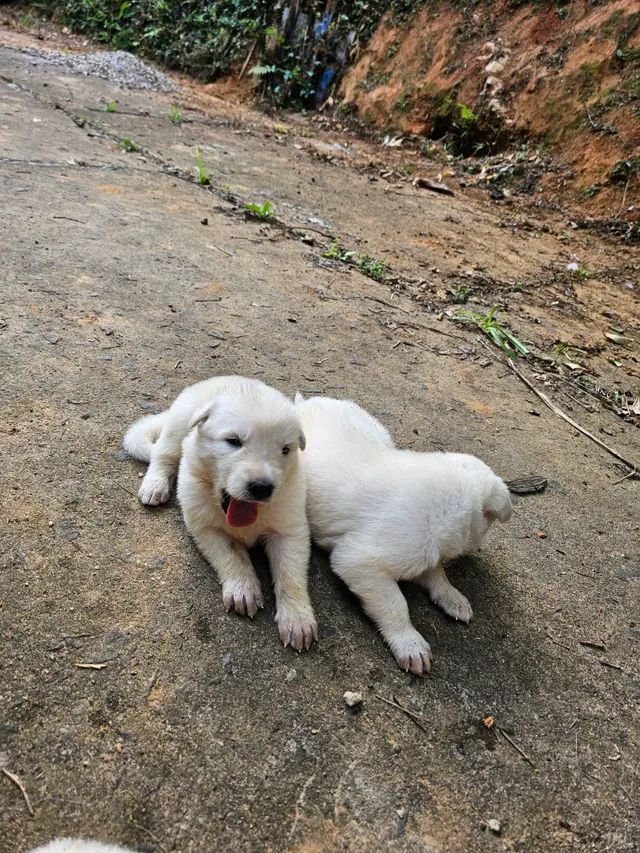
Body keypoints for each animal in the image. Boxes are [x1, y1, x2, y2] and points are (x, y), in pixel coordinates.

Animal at [124, 376, 316, 648]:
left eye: (285, 450)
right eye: (234, 441)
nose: (261, 487)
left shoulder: (290, 530)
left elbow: (291, 574)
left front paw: (297, 620)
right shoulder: (205, 525)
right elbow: (231, 554)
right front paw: (243, 590)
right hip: (179, 423)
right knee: (163, 453)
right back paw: (155, 485)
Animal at [294, 396, 510, 676]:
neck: (445, 502)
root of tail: (305, 401)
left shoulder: (425, 552)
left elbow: (436, 573)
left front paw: (451, 596)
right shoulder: (358, 561)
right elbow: (395, 604)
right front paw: (410, 644)